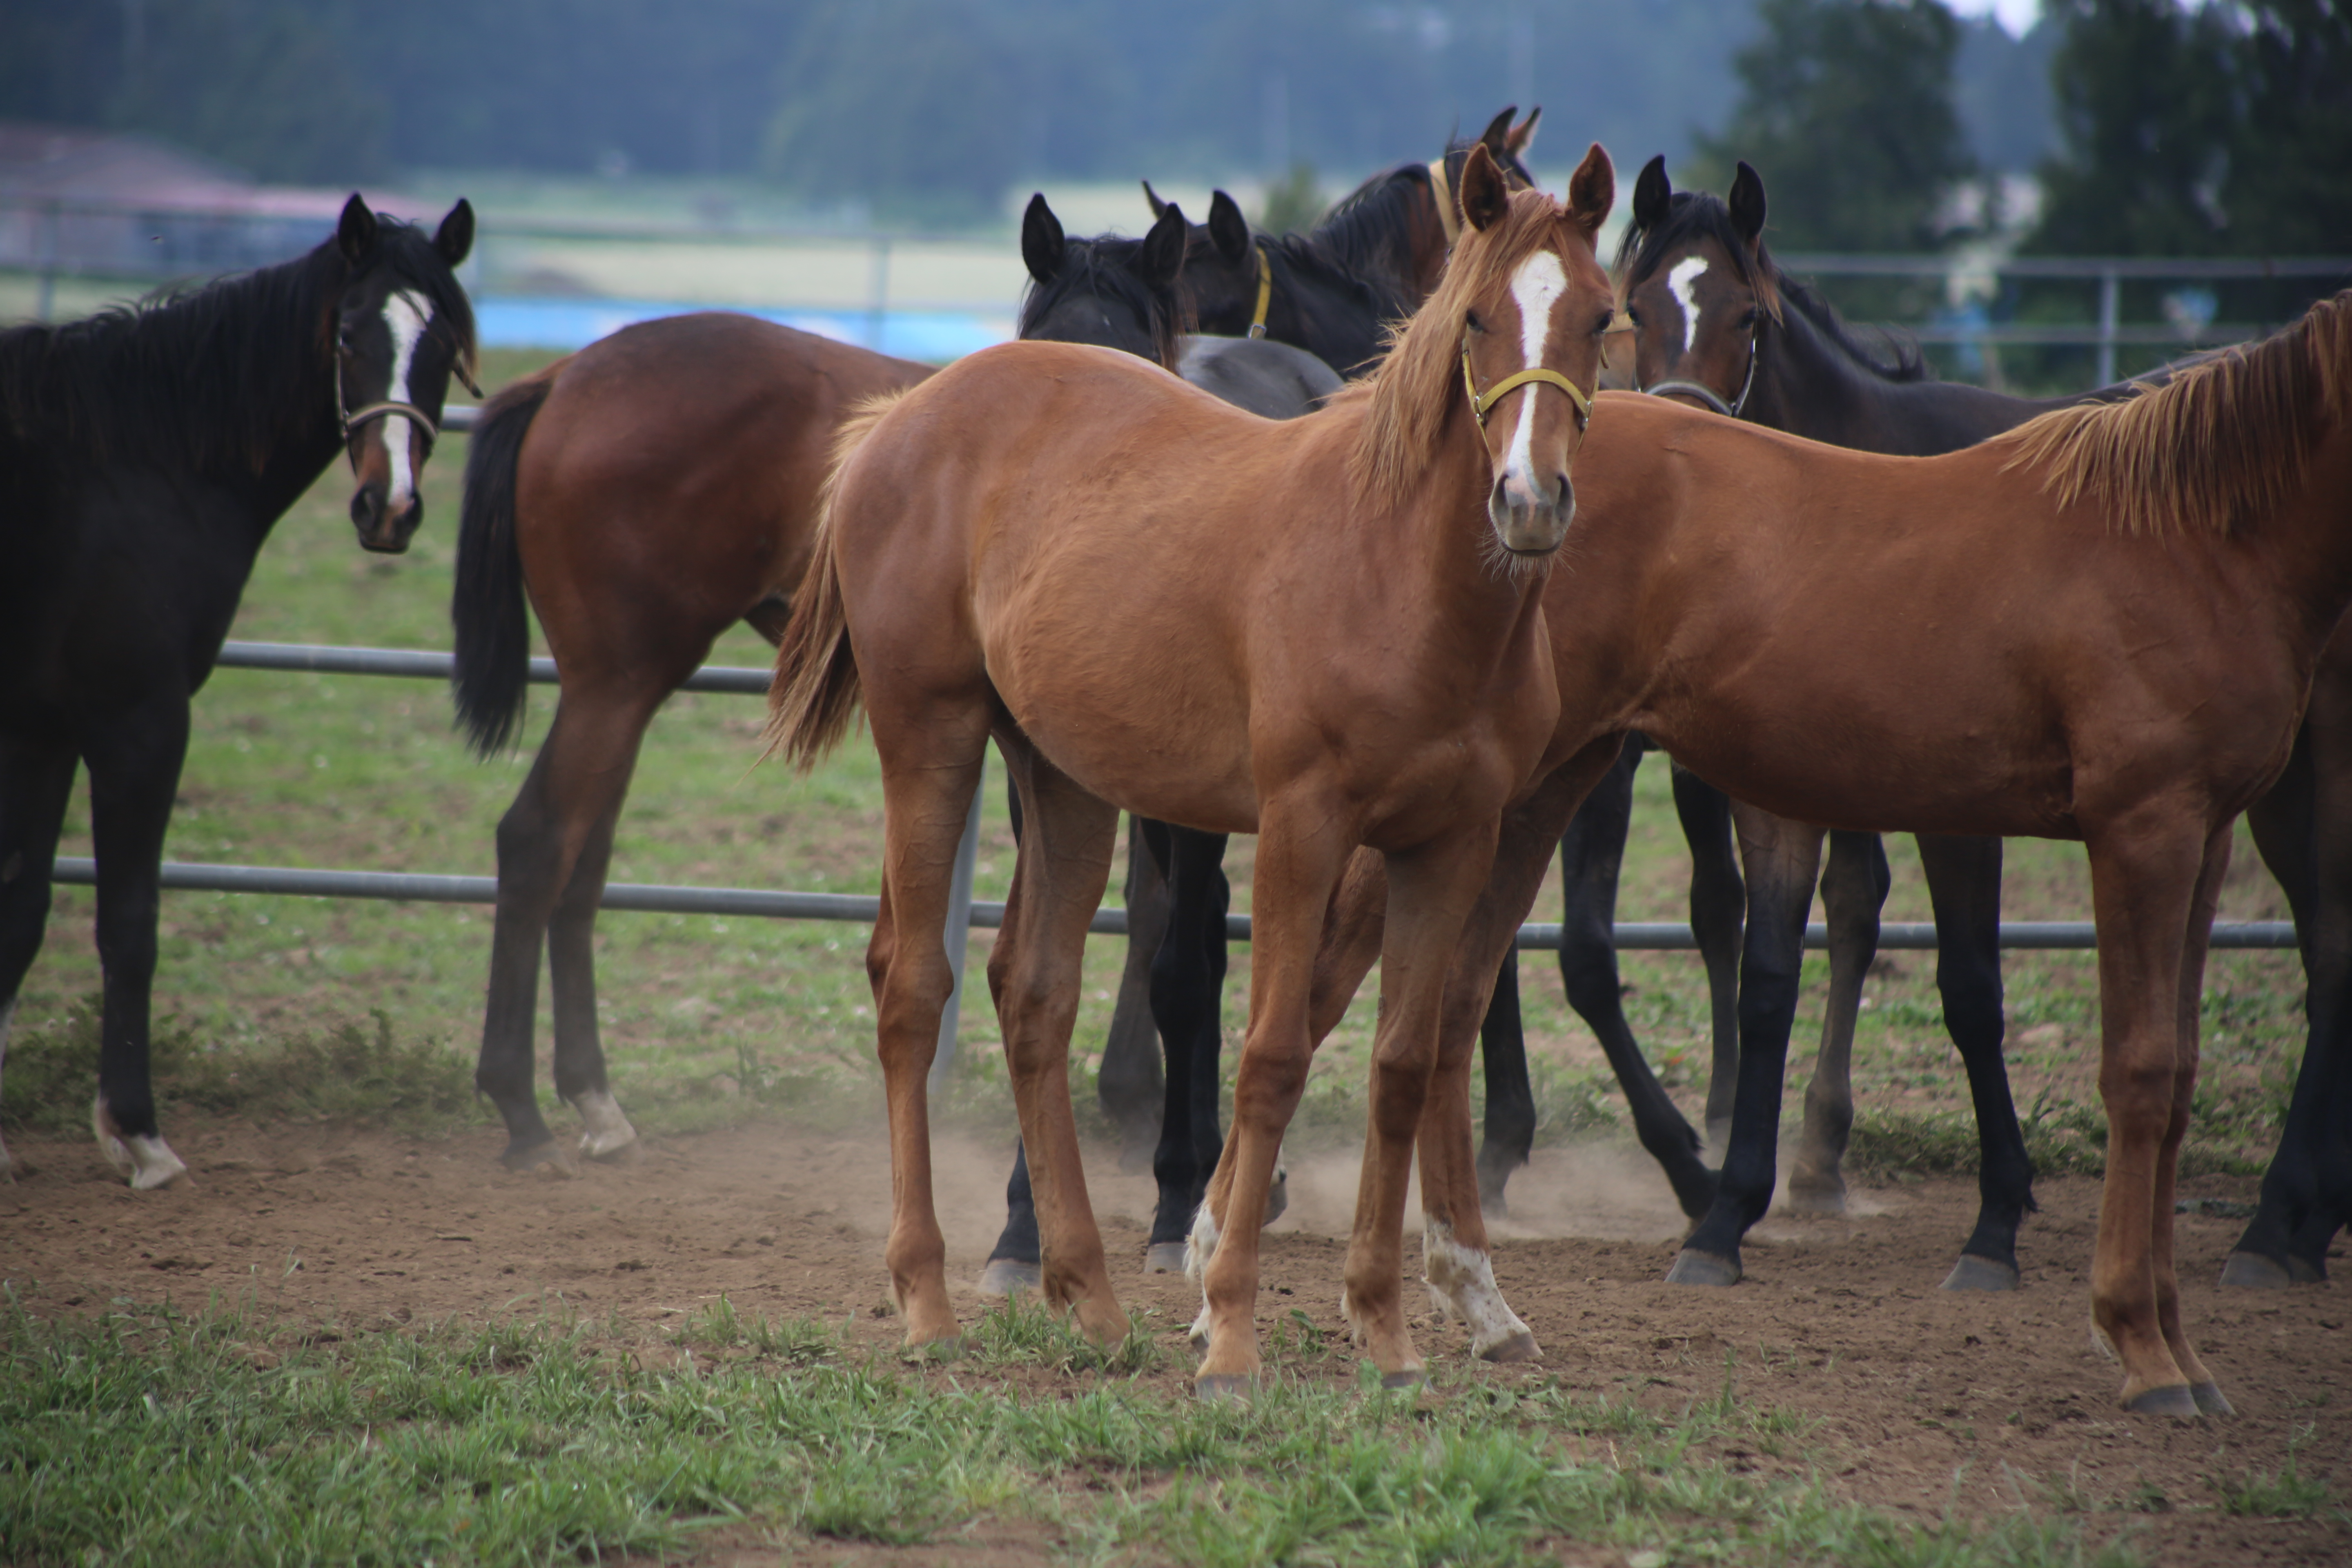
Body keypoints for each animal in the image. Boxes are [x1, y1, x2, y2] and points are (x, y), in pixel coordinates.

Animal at [0, 190, 477, 1185]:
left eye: (445, 342)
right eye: (347, 335)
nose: (390, 508)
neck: (139, 461)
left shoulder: (41, 729)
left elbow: (20, 914)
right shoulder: (138, 720)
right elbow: (130, 921)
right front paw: (138, 1133)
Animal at [447, 202, 1185, 1171]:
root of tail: (567, 375)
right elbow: (1147, 906)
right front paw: (1139, 1104)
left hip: (627, 690)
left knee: (583, 862)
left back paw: (592, 1097)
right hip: (614, 684)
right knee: (538, 843)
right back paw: (522, 1105)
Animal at [771, 150, 1618, 1401]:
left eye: (1601, 318)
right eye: (1472, 317)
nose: (1528, 500)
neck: (1398, 576)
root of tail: (902, 416)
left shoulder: (1451, 842)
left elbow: (1403, 1064)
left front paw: (1385, 1332)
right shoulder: (1302, 828)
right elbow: (1267, 1056)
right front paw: (1228, 1331)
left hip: (1062, 779)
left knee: (1033, 993)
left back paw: (1088, 1297)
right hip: (931, 737)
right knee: (912, 986)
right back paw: (926, 1299)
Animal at [1289, 288, 2352, 1420]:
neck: (2190, 536)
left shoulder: (2202, 840)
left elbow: (2178, 1071)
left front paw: (2182, 1352)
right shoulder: (2141, 830)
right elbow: (2139, 1072)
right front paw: (2140, 1347)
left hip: (1540, 788)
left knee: (1447, 1006)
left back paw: (1477, 1303)